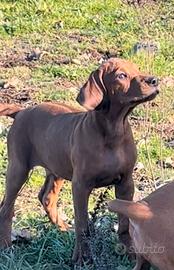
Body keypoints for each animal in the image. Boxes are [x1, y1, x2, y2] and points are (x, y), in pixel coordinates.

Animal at [0, 58, 158, 262]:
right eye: (121, 75)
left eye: (137, 69)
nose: (154, 80)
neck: (113, 131)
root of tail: (21, 111)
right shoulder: (81, 185)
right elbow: (82, 224)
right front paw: (82, 258)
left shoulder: (126, 182)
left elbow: (124, 223)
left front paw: (130, 253)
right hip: (18, 168)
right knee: (7, 207)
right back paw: (6, 245)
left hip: (56, 166)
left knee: (46, 197)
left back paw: (62, 229)